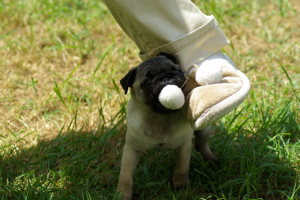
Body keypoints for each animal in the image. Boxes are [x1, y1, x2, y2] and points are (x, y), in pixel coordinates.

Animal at [118, 53, 218, 200]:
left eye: (178, 72)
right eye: (147, 82)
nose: (166, 78)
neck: (161, 119)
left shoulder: (183, 147)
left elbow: (181, 168)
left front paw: (180, 186)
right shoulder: (131, 149)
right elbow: (125, 176)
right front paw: (123, 194)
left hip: (203, 129)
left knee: (201, 144)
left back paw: (210, 160)